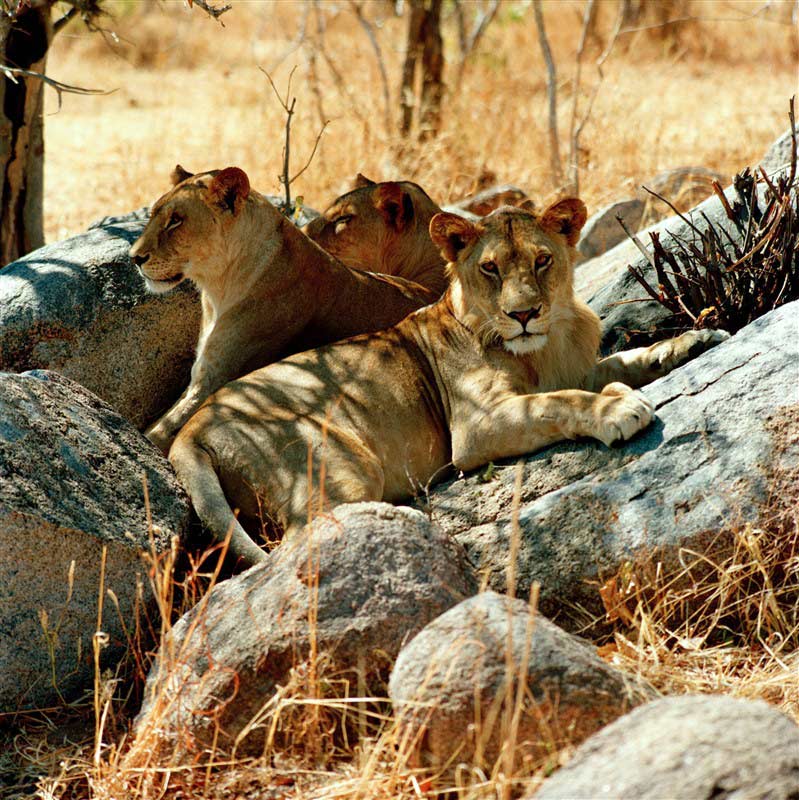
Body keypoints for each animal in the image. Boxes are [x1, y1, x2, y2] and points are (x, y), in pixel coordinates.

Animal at [169, 199, 732, 564]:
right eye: (490, 269)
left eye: (542, 260)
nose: (523, 314)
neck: (545, 344)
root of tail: (190, 431)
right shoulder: (477, 427)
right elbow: (559, 401)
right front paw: (616, 409)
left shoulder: (577, 365)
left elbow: (625, 359)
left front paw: (694, 340)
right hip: (338, 464)